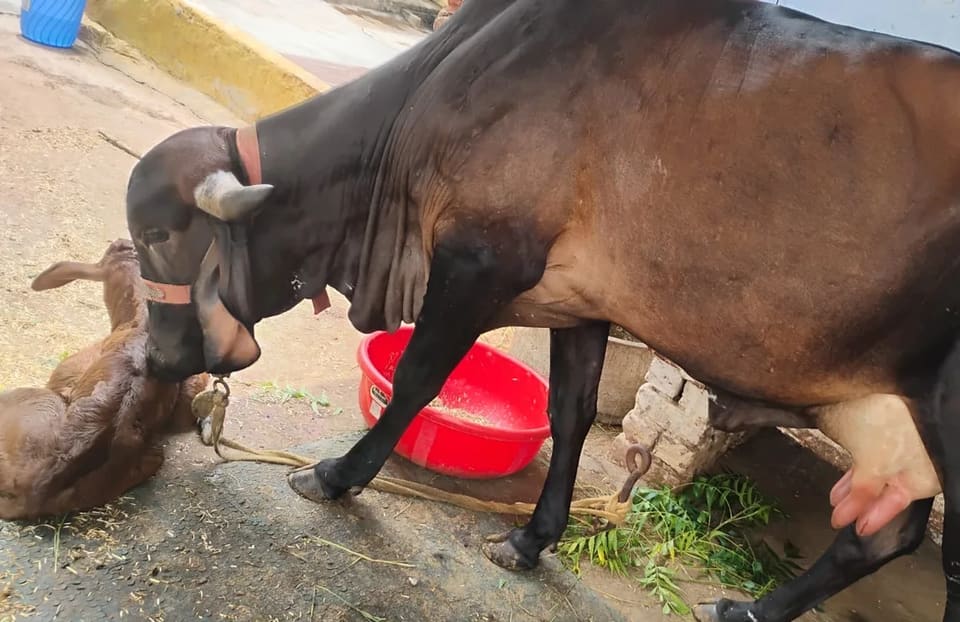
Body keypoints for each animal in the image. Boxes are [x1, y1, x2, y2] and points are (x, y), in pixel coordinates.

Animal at [123, 0, 960, 620]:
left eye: (161, 234)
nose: (156, 357)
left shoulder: (480, 261)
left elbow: (420, 378)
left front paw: (335, 476)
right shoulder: (578, 305)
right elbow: (571, 414)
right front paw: (530, 541)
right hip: (882, 416)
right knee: (885, 535)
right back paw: (749, 607)